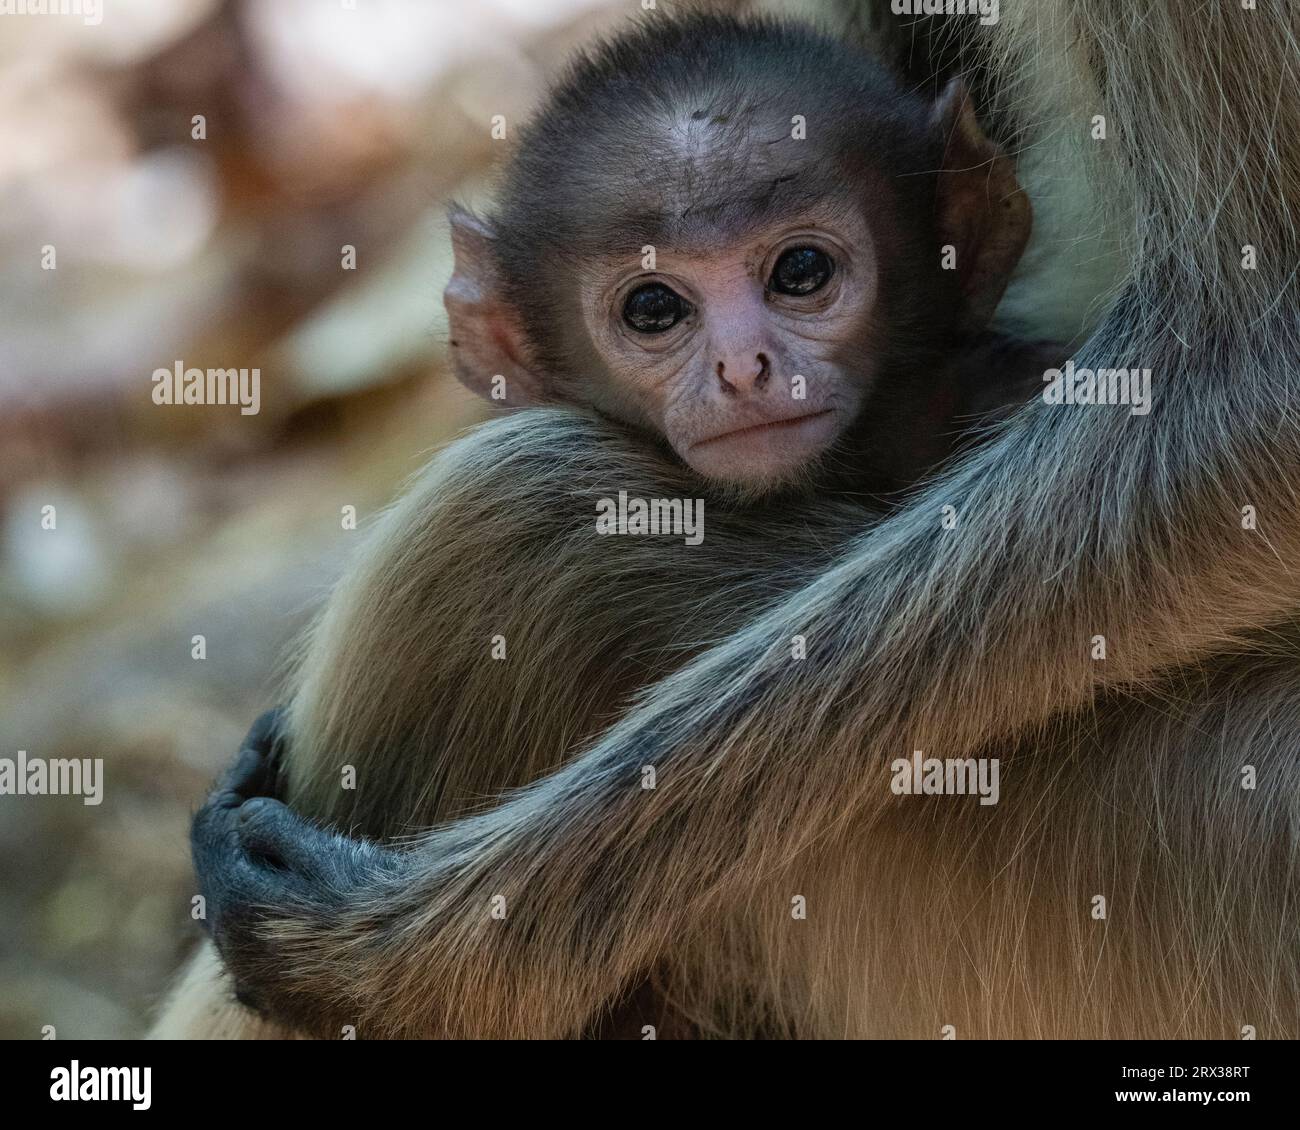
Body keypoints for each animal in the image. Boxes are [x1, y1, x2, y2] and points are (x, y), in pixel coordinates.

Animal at [159, 2, 1300, 1040]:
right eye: (654, 309)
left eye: (801, 273)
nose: (745, 367)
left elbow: (1259, 400)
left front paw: (415, 965)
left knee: (506, 517)